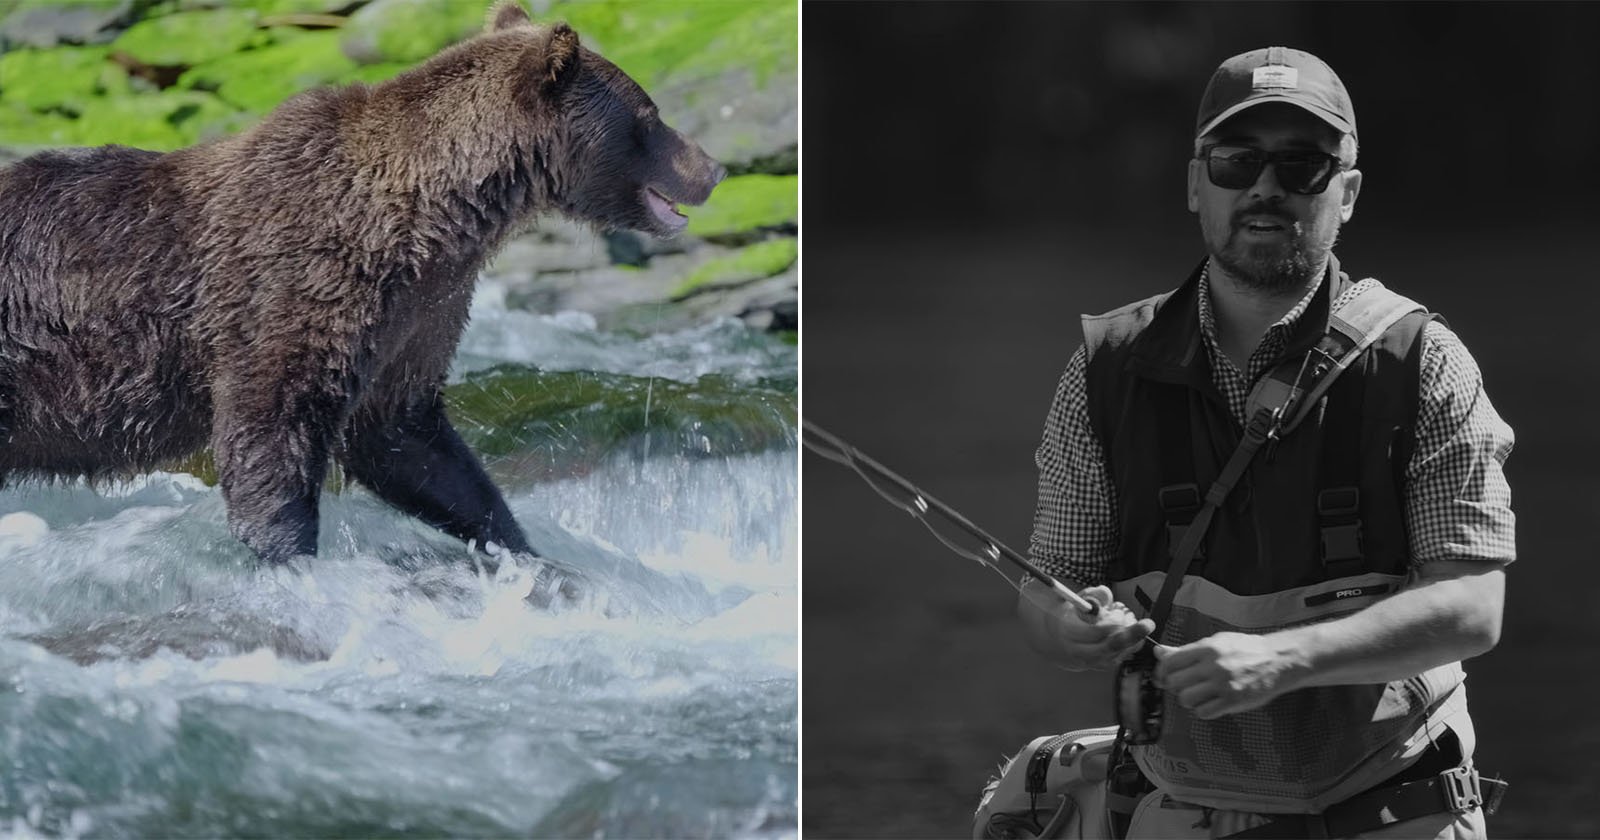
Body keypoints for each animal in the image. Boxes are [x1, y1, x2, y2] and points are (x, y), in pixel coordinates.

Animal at [0, 1, 725, 568]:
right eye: (650, 114)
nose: (712, 167)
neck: (428, 217)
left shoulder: (419, 310)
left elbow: (406, 438)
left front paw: (519, 544)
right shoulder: (295, 286)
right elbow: (270, 425)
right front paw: (286, 552)